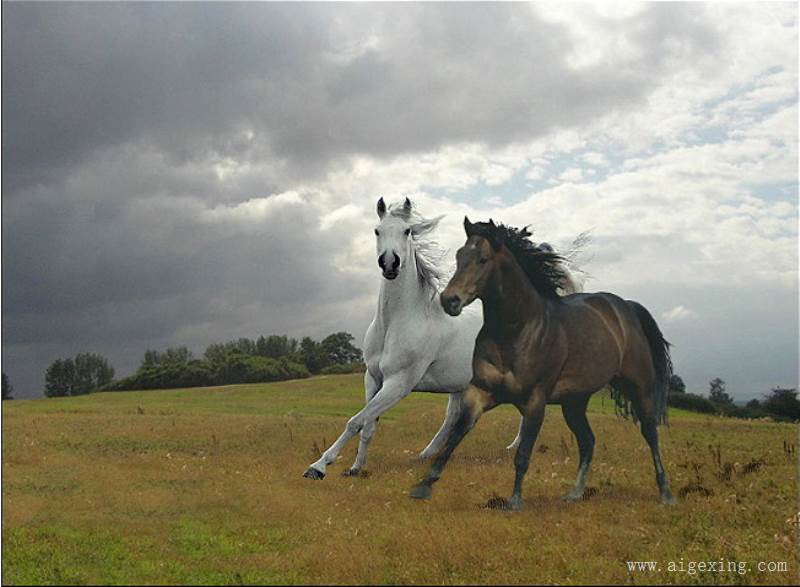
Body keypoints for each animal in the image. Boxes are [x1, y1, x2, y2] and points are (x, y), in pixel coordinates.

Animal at [304, 200, 580, 480]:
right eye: (376, 230)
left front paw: (318, 467)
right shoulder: (372, 378)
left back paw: (512, 447)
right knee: (454, 417)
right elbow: (367, 425)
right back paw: (427, 454)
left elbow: (356, 420)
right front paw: (355, 467)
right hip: (461, 384)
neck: (397, 322)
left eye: (407, 231)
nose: (390, 263)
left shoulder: (399, 383)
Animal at [412, 218, 676, 508]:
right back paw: (574, 493)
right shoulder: (480, 393)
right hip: (574, 403)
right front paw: (423, 486)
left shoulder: (536, 400)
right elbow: (455, 437)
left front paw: (515, 500)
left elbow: (523, 453)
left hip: (639, 388)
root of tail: (626, 307)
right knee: (588, 441)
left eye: (482, 259)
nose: (450, 300)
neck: (517, 330)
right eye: (459, 256)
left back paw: (665, 493)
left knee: (650, 433)